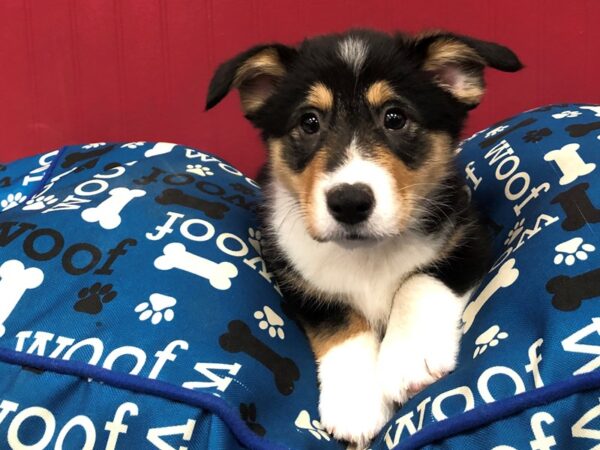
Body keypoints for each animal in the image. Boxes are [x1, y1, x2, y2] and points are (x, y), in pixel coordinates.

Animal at [205, 29, 520, 448]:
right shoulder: (300, 282)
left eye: (395, 117)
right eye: (309, 121)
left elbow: (417, 281)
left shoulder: (469, 236)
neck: (368, 254)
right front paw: (355, 404)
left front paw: (409, 359)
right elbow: (342, 323)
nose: (349, 202)